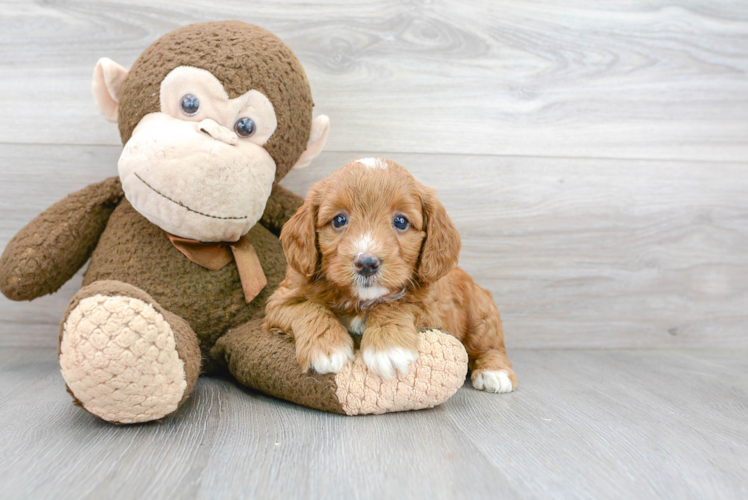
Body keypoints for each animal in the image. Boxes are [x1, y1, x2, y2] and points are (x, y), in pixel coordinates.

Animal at [266, 158, 516, 392]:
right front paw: (326, 347)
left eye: (401, 221)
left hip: (481, 314)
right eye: (339, 220)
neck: (360, 300)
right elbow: (306, 307)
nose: (367, 263)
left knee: (490, 346)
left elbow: (394, 303)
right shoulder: (280, 301)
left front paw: (387, 347)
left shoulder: (432, 309)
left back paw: (495, 373)